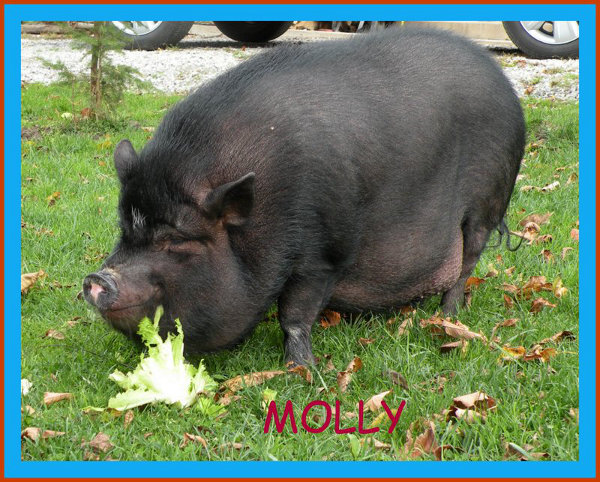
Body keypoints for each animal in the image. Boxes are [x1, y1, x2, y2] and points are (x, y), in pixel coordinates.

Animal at [82, 26, 524, 366]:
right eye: (125, 230)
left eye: (177, 240)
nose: (97, 279)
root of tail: (500, 76)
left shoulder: (322, 255)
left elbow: (294, 315)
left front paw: (301, 370)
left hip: (488, 201)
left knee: (467, 262)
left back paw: (448, 316)